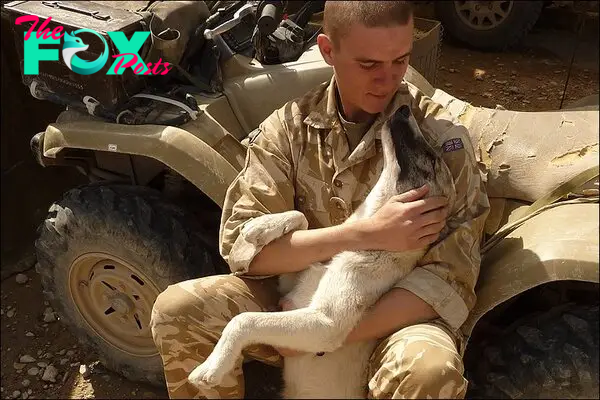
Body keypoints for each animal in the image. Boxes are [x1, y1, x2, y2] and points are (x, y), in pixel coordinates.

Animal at [188, 103, 454, 396]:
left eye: (431, 159)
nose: (405, 108)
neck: (366, 239)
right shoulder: (290, 285)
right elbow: (301, 219)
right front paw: (261, 227)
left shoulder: (324, 324)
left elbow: (244, 320)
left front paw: (212, 367)